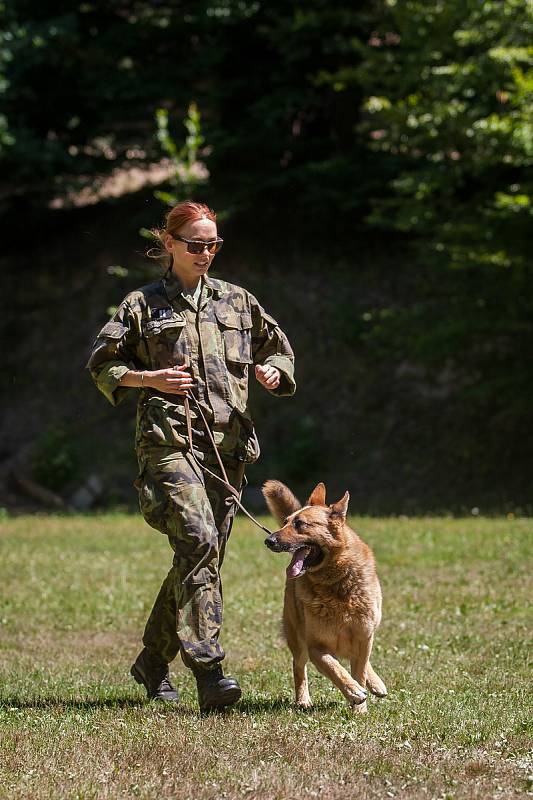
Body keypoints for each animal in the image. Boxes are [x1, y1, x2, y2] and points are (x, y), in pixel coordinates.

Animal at [262, 482, 386, 712]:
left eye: (300, 524)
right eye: (285, 522)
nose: (268, 540)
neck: (336, 584)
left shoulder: (364, 637)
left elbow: (360, 671)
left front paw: (360, 708)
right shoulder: (316, 647)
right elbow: (336, 669)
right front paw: (353, 692)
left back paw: (375, 683)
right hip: (297, 638)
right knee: (298, 666)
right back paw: (303, 700)